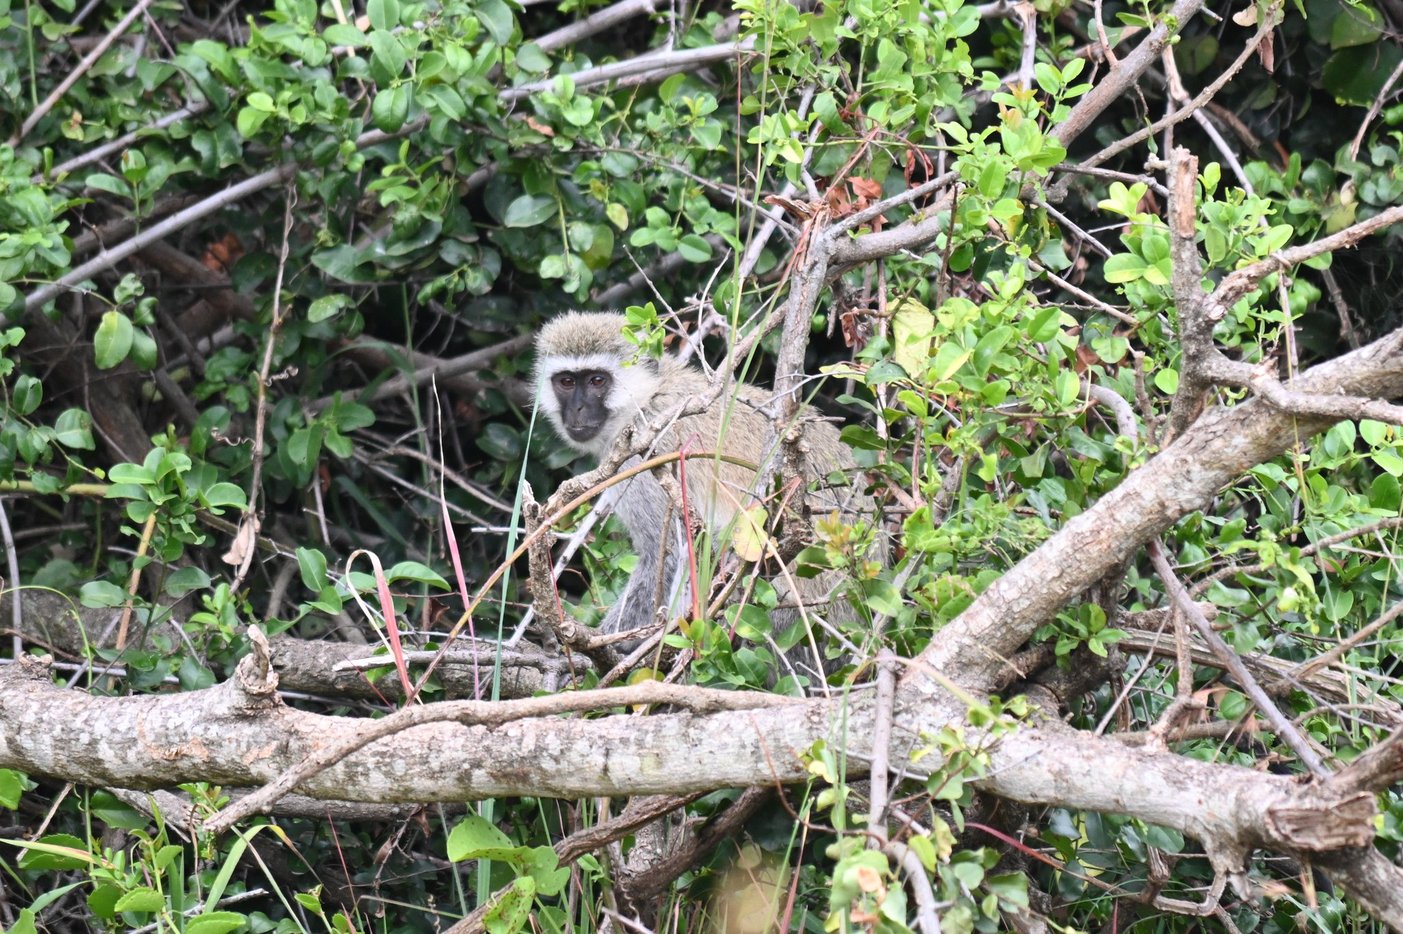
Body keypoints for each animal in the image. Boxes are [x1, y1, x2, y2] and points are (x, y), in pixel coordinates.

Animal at [533, 311, 879, 674]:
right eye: (567, 382)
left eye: (597, 381)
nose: (577, 410)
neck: (648, 399)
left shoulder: (648, 457)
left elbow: (668, 552)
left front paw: (611, 648)